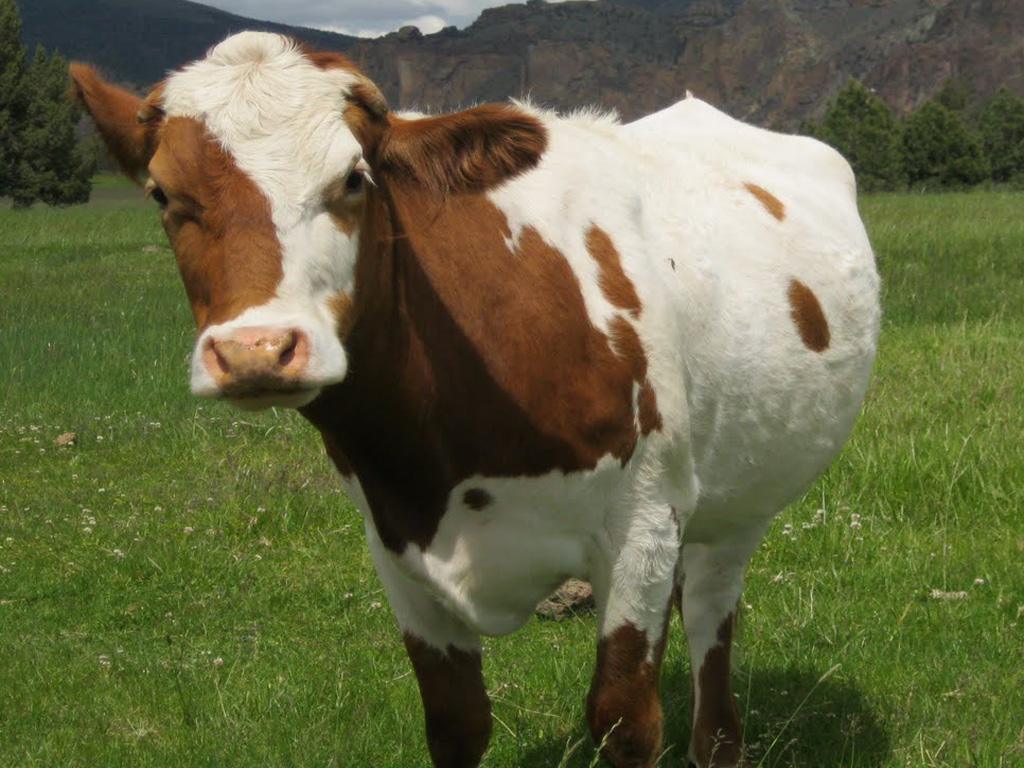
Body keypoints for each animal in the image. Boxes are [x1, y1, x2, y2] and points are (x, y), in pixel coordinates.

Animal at [70, 31, 879, 768]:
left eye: (353, 179)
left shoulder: (643, 522)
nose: (256, 352)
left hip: (737, 504)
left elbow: (623, 720)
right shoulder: (396, 544)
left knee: (712, 622)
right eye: (161, 193)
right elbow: (456, 724)